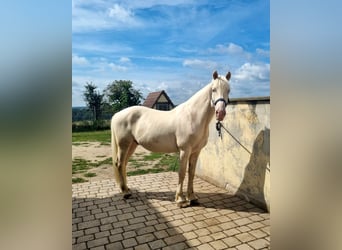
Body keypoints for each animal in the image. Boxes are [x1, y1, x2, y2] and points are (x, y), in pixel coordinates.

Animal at [111, 70, 231, 205]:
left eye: (228, 90)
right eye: (213, 89)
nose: (220, 113)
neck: (192, 117)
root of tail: (117, 114)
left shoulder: (195, 151)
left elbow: (191, 173)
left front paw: (192, 197)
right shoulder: (184, 150)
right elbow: (182, 173)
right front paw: (180, 199)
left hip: (132, 145)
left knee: (124, 164)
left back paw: (127, 189)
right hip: (123, 145)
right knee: (119, 164)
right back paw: (125, 193)